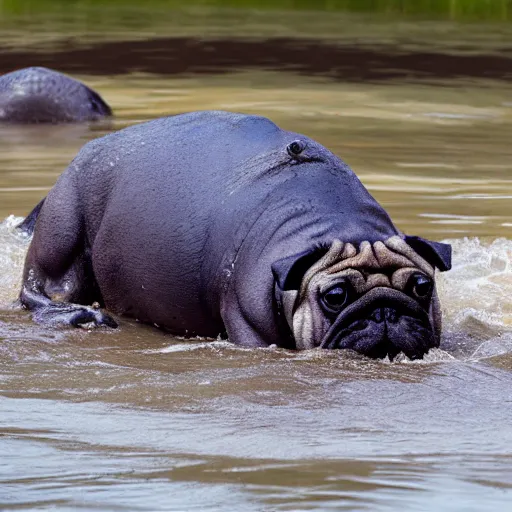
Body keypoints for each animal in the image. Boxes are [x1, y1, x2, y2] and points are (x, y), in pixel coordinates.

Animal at [19, 112, 452, 360]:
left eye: (422, 286)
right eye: (334, 296)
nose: (385, 309)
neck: (340, 225)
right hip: (61, 234)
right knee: (37, 289)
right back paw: (78, 314)